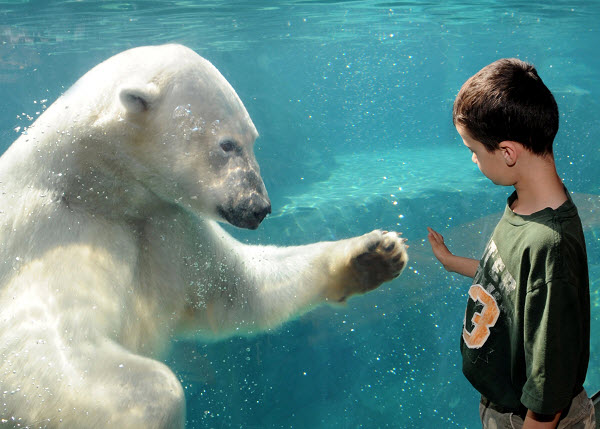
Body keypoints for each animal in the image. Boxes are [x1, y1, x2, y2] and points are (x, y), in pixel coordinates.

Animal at [0, 45, 408, 426]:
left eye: (253, 139)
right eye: (227, 144)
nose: (259, 206)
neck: (95, 182)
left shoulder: (168, 224)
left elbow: (240, 287)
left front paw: (377, 255)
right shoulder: (58, 231)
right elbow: (40, 354)